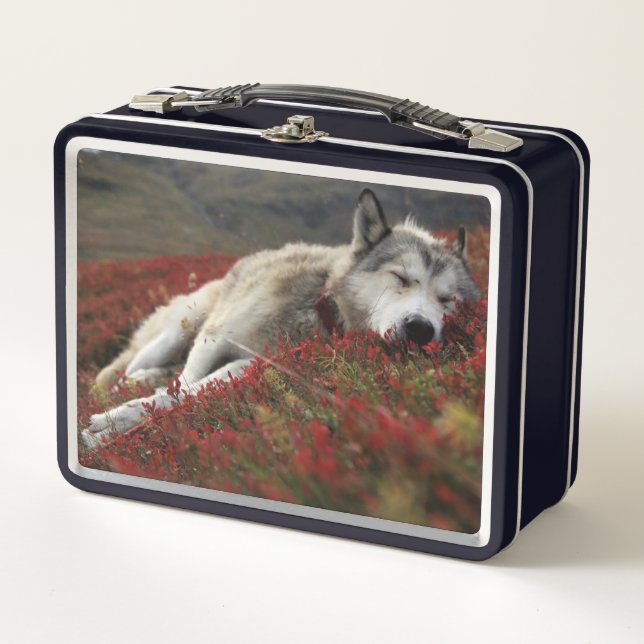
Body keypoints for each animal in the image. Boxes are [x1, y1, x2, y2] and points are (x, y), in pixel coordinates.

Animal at [83, 189, 479, 448]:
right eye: (400, 277)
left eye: (448, 300)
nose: (421, 329)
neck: (317, 309)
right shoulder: (214, 338)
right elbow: (183, 386)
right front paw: (125, 415)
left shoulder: (255, 363)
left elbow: (186, 393)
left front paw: (122, 421)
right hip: (183, 329)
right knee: (120, 374)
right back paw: (128, 383)